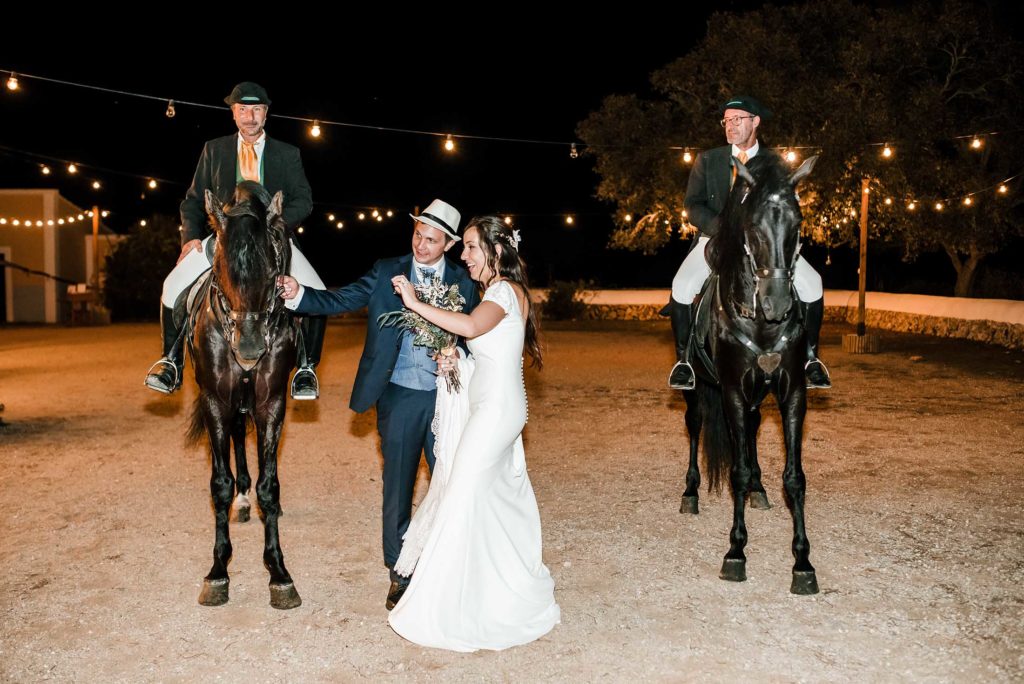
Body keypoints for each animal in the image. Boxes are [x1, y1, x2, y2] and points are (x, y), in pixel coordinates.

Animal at [187, 181, 299, 610]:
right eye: (220, 267)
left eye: (272, 270)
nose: (250, 350)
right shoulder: (216, 401)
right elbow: (219, 484)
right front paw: (218, 570)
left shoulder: (271, 404)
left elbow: (270, 485)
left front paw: (279, 572)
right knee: (236, 438)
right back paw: (241, 499)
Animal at [679, 153, 823, 593]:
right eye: (753, 226)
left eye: (797, 223)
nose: (777, 304)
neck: (761, 322)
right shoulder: (731, 392)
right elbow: (737, 472)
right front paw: (735, 552)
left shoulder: (793, 392)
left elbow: (795, 478)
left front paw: (803, 562)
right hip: (697, 391)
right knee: (695, 425)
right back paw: (690, 492)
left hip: (759, 395)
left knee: (756, 431)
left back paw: (760, 490)